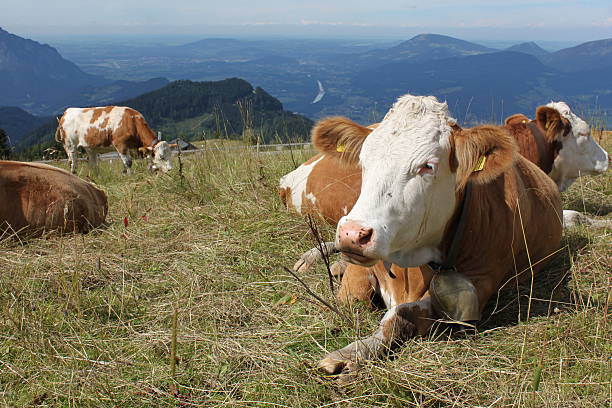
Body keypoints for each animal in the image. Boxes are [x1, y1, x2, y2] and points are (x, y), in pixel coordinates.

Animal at [308, 95, 560, 372]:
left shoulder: (482, 281)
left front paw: (353, 352)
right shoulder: (360, 266)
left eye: (427, 166)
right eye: (363, 162)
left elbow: (401, 315)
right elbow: (349, 298)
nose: (352, 234)